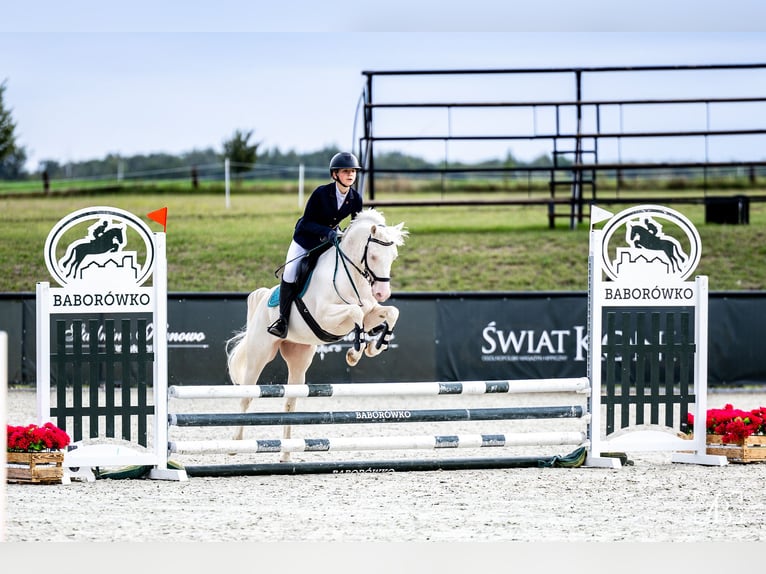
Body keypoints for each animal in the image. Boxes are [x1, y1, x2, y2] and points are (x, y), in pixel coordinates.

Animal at [225, 209, 408, 462]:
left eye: (393, 256)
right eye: (373, 257)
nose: (382, 293)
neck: (351, 276)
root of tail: (263, 298)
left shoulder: (370, 311)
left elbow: (390, 313)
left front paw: (375, 345)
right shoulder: (326, 316)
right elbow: (355, 312)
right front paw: (355, 352)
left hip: (299, 358)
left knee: (290, 403)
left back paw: (286, 454)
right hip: (259, 354)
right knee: (247, 394)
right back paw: (235, 444)